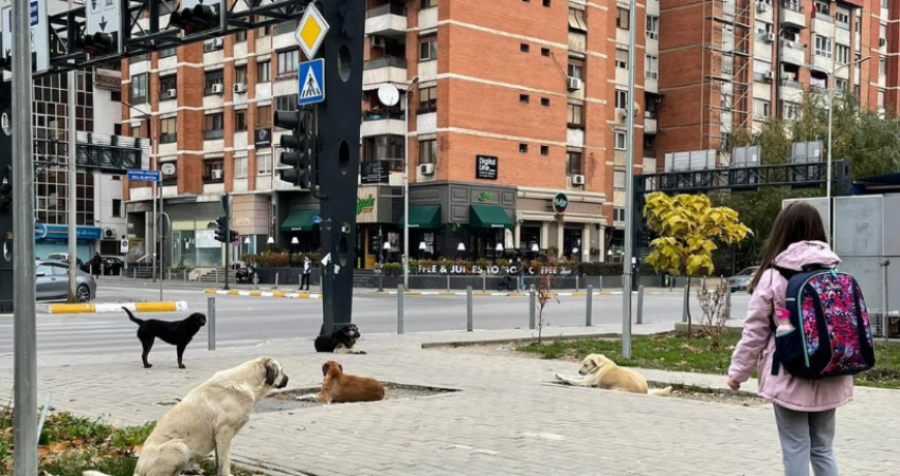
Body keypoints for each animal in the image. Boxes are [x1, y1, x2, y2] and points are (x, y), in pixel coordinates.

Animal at [83, 356, 288, 476]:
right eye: (281, 371)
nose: (288, 379)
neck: (246, 382)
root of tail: (137, 472)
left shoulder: (220, 438)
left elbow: (219, 462)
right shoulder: (224, 433)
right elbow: (225, 463)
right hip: (179, 446)